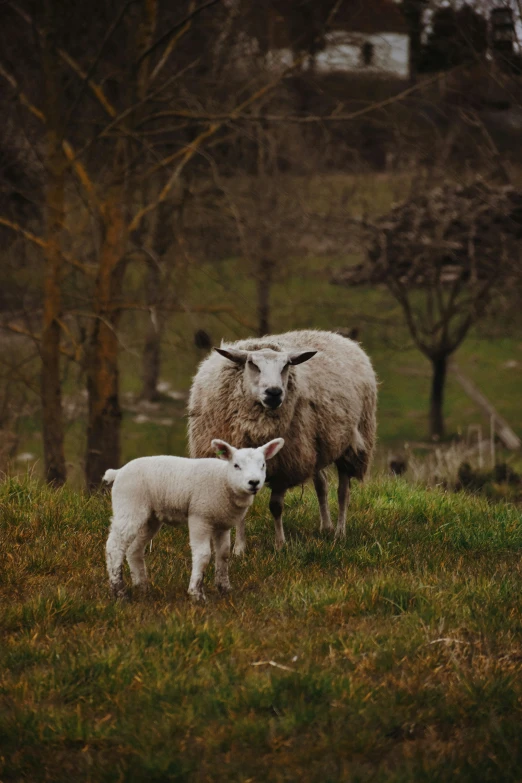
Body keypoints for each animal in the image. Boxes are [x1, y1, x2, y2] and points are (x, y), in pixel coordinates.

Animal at [103, 440, 282, 600]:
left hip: (150, 518)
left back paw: (142, 587)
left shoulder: (222, 523)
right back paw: (119, 591)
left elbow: (224, 554)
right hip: (129, 505)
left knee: (134, 549)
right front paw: (196, 593)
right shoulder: (200, 517)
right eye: (236, 465)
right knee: (115, 546)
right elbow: (203, 555)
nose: (254, 482)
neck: (223, 480)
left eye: (263, 465)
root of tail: (118, 472)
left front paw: (224, 588)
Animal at [189, 330, 376, 552]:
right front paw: (239, 549)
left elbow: (276, 507)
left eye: (286, 365)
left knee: (343, 492)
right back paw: (326, 527)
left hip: (349, 446)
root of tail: (339, 337)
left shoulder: (284, 467)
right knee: (322, 485)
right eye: (252, 363)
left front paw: (280, 544)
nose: (274, 392)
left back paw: (340, 532)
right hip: (313, 447)